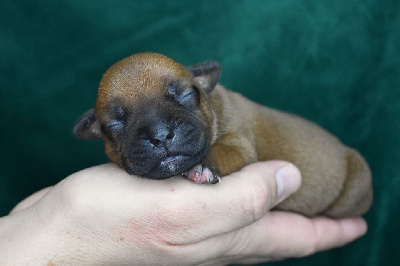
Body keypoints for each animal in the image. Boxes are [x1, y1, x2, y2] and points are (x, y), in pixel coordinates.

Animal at [73, 52, 374, 218]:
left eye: (186, 94)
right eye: (114, 124)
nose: (160, 135)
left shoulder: (238, 144)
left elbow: (223, 151)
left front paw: (203, 166)